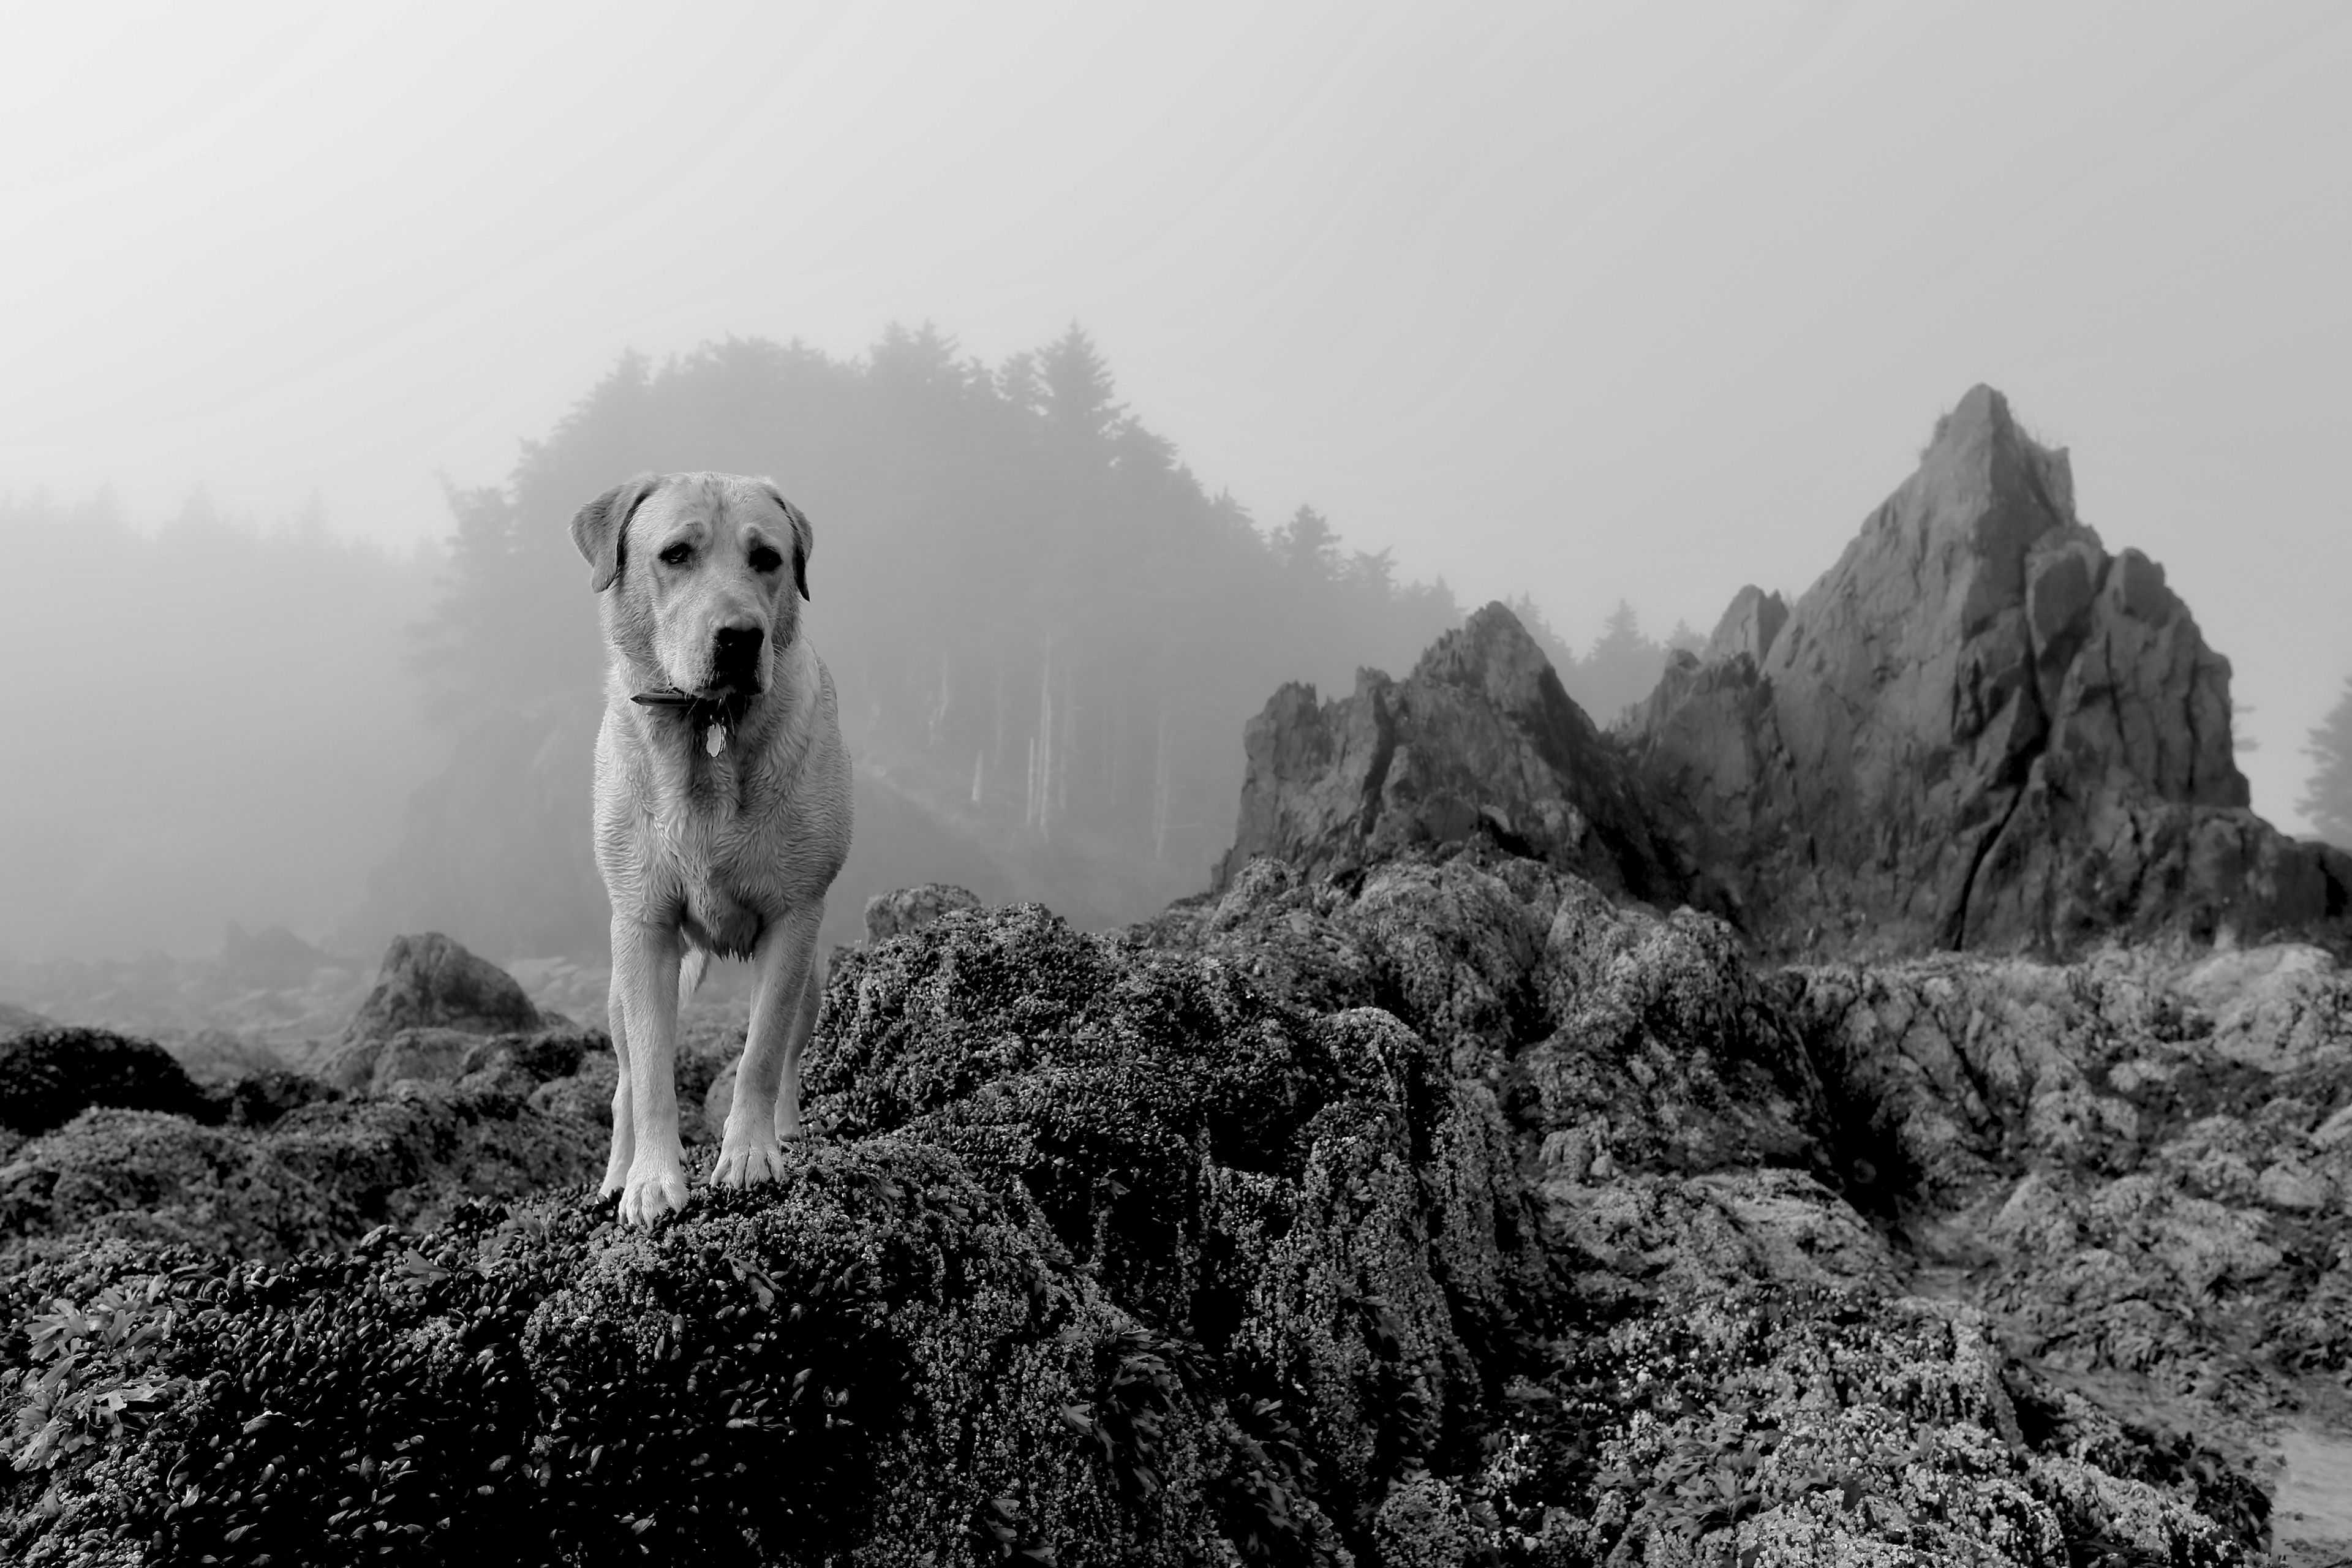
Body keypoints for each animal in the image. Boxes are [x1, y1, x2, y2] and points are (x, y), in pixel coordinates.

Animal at [569, 465, 856, 1222]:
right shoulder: (643, 926)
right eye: (676, 554)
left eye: (768, 558)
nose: (740, 638)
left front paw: (752, 1154)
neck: (706, 730)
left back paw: (785, 1127)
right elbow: (650, 1075)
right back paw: (617, 1172)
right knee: (623, 1082)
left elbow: (759, 1055)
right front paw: (650, 1180)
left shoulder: (795, 918)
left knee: (787, 1049)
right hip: (618, 989)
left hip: (815, 978)